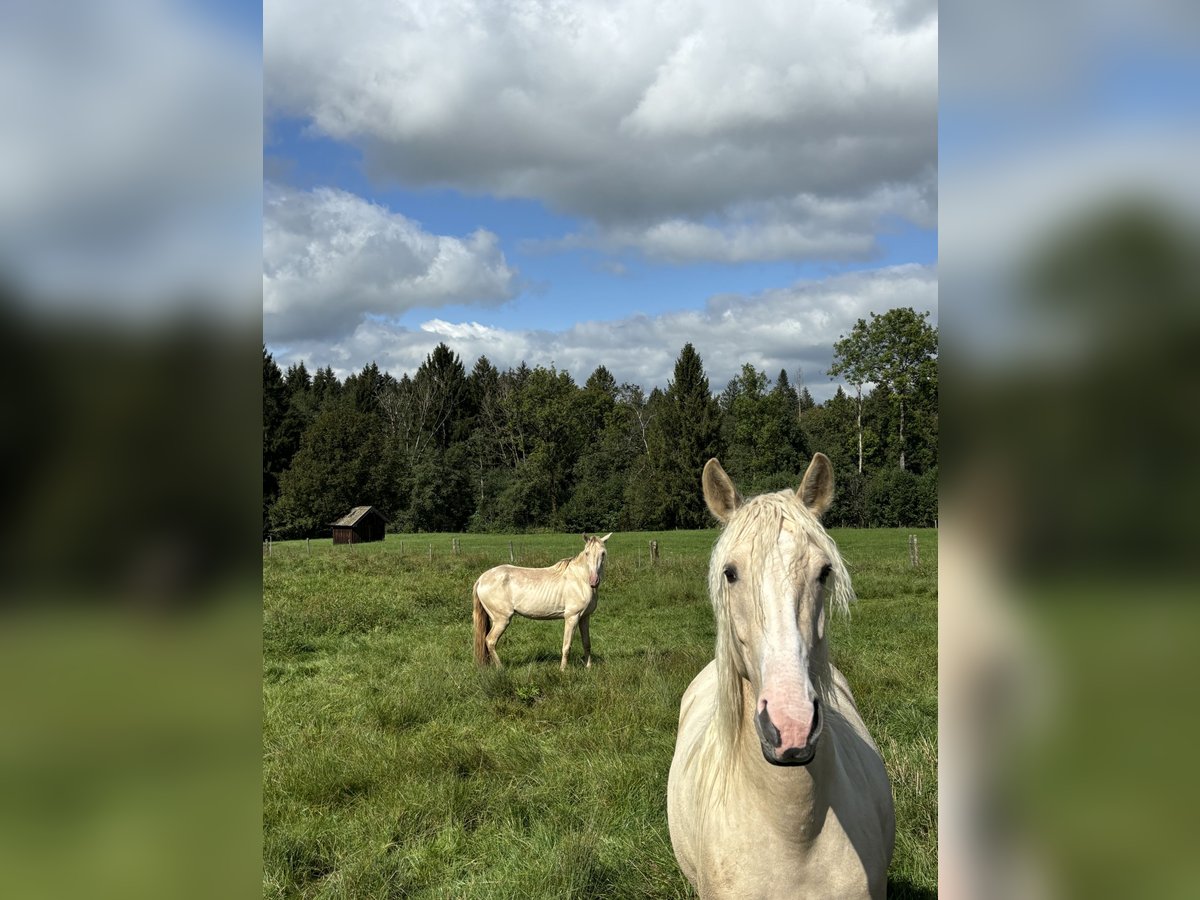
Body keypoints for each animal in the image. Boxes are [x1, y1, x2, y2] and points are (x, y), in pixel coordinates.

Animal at [472, 532, 614, 672]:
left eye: (603, 553)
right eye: (587, 553)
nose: (594, 581)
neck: (579, 579)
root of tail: (481, 578)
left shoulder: (585, 617)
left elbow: (587, 643)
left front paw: (589, 667)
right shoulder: (572, 617)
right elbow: (566, 646)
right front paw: (562, 670)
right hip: (502, 619)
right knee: (490, 641)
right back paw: (501, 668)